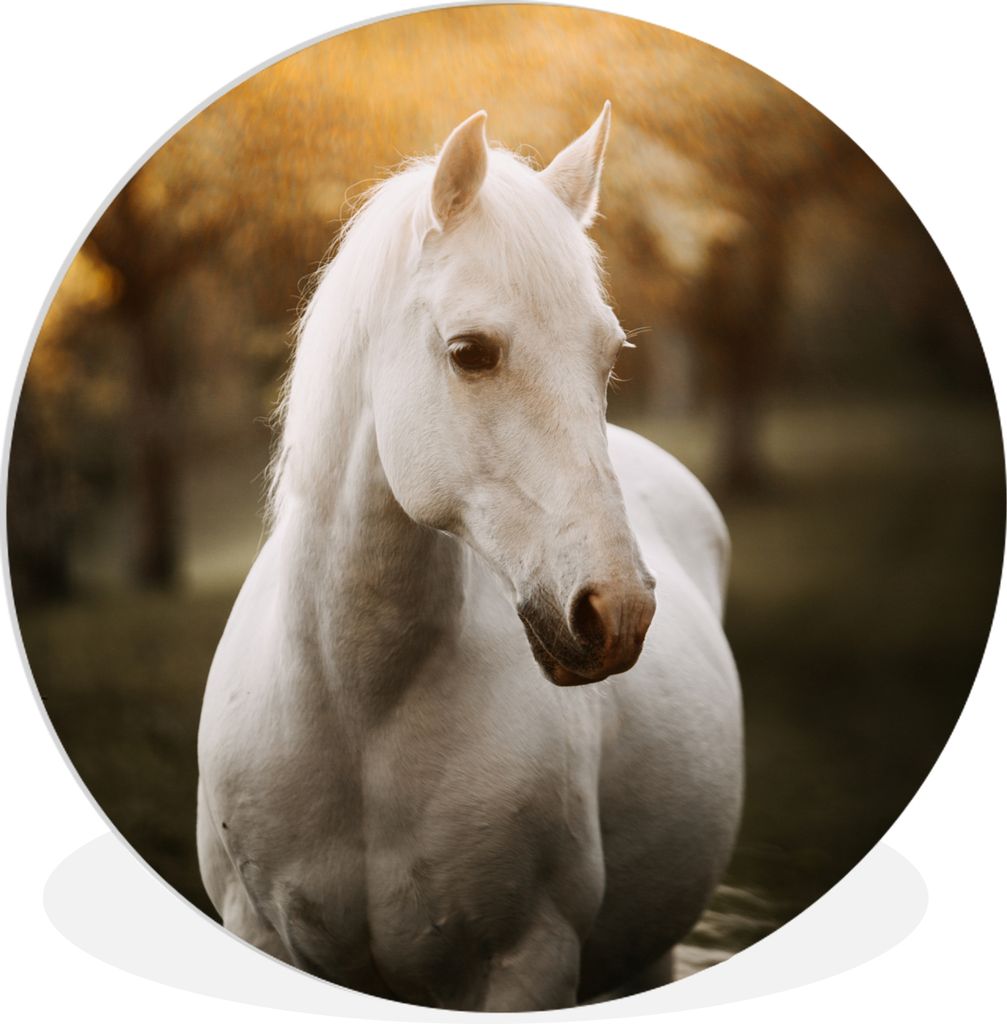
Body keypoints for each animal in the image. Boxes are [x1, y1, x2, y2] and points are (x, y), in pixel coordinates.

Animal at [196, 104, 743, 1011]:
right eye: (470, 352)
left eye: (607, 357)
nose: (617, 610)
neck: (358, 704)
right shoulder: (258, 932)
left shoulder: (529, 960)